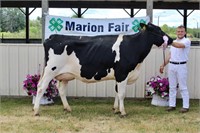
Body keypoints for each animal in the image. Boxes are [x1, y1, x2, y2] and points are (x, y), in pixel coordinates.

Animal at [33, 22, 173, 116]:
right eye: (157, 30)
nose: (171, 39)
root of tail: (52, 36)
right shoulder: (122, 73)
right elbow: (121, 93)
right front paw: (123, 112)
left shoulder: (118, 75)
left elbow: (116, 91)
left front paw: (116, 109)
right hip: (50, 70)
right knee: (41, 88)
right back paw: (36, 110)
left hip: (64, 75)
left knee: (61, 90)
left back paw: (67, 108)